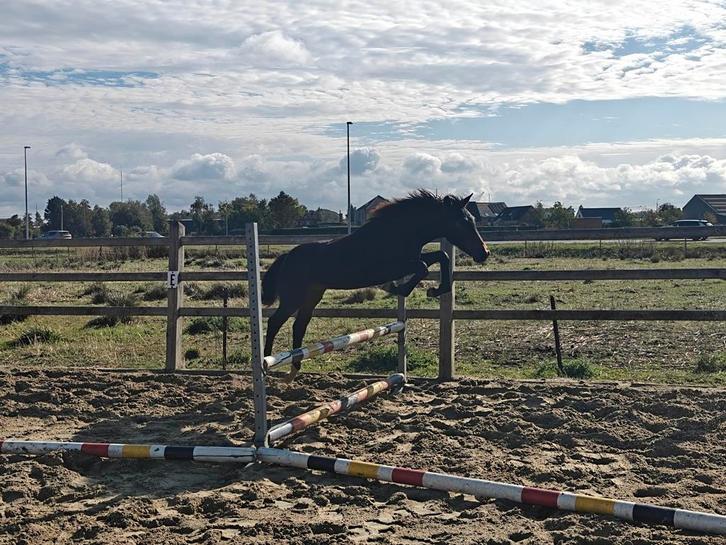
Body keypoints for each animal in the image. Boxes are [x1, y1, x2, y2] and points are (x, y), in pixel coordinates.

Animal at [261, 190, 490, 382]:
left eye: (472, 220)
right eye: (461, 223)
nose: (484, 253)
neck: (400, 232)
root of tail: (287, 257)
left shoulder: (410, 259)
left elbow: (441, 256)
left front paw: (435, 290)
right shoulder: (396, 267)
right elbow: (424, 267)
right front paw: (398, 289)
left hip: (312, 296)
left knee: (298, 326)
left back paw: (293, 370)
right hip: (293, 298)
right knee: (274, 323)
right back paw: (266, 365)